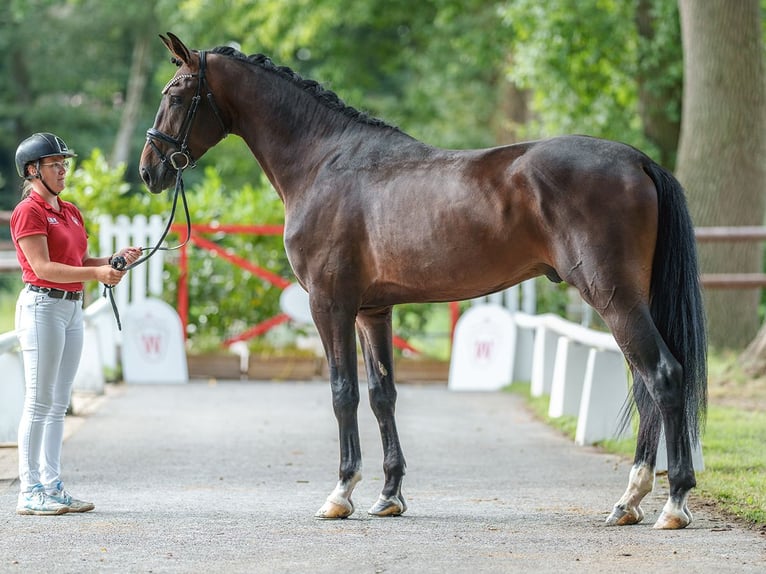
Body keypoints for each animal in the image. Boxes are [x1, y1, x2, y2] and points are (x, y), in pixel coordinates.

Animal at [141, 33, 712, 532]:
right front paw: (388, 496)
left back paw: (672, 503)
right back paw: (630, 502)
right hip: (628, 301)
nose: (150, 171)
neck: (324, 161)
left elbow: (343, 392)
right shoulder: (372, 311)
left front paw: (340, 493)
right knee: (644, 388)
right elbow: (382, 395)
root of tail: (639, 160)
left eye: (177, 94)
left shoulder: (330, 304)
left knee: (663, 377)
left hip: (613, 298)